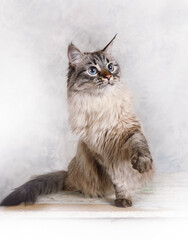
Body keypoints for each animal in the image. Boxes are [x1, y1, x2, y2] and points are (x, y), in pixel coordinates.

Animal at [0, 35, 154, 208]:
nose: (108, 77)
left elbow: (139, 144)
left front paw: (143, 164)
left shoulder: (129, 129)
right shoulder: (100, 152)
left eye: (110, 67)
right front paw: (123, 199)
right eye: (92, 70)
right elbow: (118, 179)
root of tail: (69, 173)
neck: (101, 103)